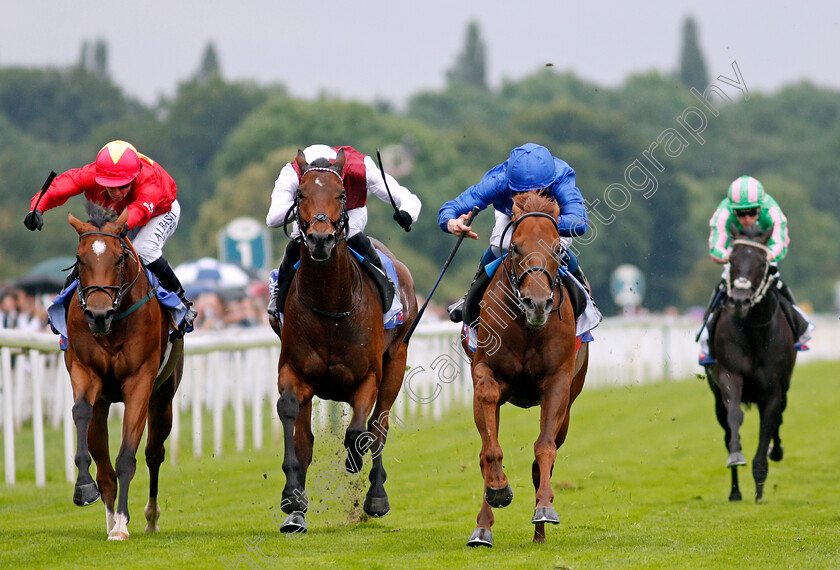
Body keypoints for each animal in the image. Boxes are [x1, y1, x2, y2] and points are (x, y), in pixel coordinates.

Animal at [64, 204, 184, 536]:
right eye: (80, 258)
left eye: (119, 258)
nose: (98, 314)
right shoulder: (85, 372)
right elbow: (81, 412)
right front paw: (84, 489)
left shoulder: (139, 382)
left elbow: (128, 456)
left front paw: (120, 524)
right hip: (105, 401)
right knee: (104, 468)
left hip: (163, 396)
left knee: (154, 453)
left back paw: (150, 518)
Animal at [272, 148, 416, 532]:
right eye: (300, 194)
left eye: (340, 195)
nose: (320, 239)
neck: (330, 306)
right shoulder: (294, 371)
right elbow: (291, 417)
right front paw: (292, 498)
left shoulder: (368, 377)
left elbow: (359, 431)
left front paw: (355, 462)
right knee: (306, 437)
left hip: (396, 360)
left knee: (379, 425)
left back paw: (376, 496)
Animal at [466, 191, 592, 544]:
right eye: (516, 248)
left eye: (558, 249)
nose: (537, 303)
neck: (527, 327)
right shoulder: (484, 373)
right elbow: (489, 447)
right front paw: (498, 490)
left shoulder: (557, 383)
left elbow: (544, 448)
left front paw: (545, 508)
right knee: (486, 448)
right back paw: (483, 525)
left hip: (569, 406)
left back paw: (539, 530)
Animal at [704, 224, 796, 500]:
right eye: (732, 259)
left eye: (762, 262)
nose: (740, 301)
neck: (755, 332)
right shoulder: (729, 376)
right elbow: (735, 416)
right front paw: (736, 456)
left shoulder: (774, 390)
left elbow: (768, 427)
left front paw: (760, 485)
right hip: (716, 400)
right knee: (727, 428)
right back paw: (735, 491)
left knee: (778, 420)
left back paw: (775, 452)